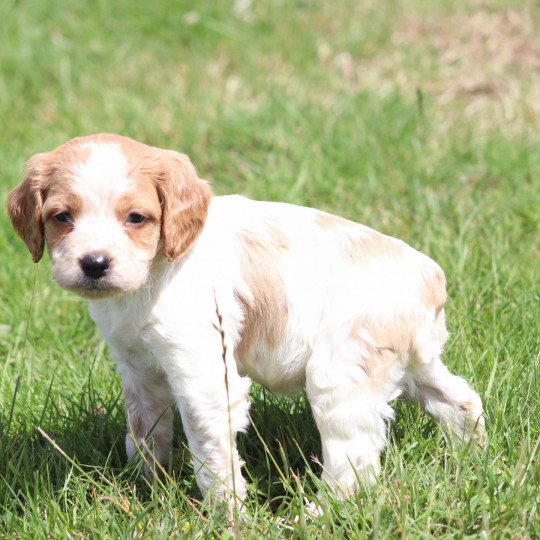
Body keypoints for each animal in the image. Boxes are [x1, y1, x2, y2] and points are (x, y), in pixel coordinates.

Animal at [6, 134, 486, 502]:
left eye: (136, 218)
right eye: (62, 217)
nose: (94, 263)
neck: (153, 276)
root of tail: (430, 276)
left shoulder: (202, 376)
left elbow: (211, 454)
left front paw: (227, 514)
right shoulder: (139, 369)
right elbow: (144, 435)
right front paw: (146, 491)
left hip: (341, 376)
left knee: (354, 465)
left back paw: (316, 514)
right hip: (412, 363)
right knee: (459, 399)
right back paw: (473, 455)